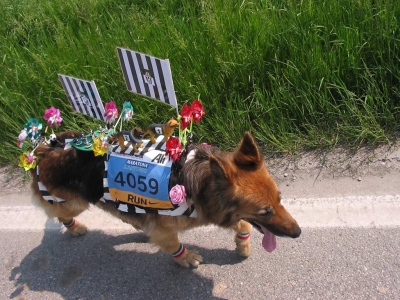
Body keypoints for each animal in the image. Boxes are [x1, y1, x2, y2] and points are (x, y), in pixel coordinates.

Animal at [30, 131, 300, 268]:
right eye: (264, 211)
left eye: (280, 200)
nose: (298, 233)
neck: (199, 183)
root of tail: (44, 149)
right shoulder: (164, 228)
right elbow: (172, 244)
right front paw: (185, 258)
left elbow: (243, 224)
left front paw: (242, 245)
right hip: (74, 202)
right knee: (60, 214)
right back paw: (75, 228)